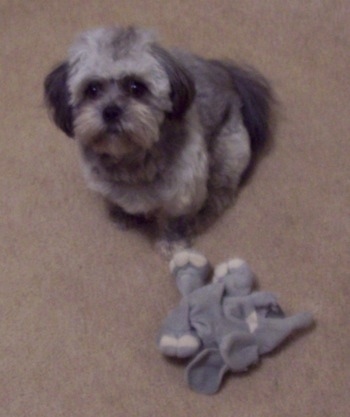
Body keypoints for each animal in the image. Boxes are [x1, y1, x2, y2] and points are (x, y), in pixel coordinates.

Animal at [44, 26, 274, 256]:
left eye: (136, 87)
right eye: (92, 89)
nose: (110, 111)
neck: (131, 160)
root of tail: (228, 77)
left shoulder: (184, 190)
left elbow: (176, 220)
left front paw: (173, 242)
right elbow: (117, 200)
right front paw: (123, 214)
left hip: (227, 155)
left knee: (221, 193)